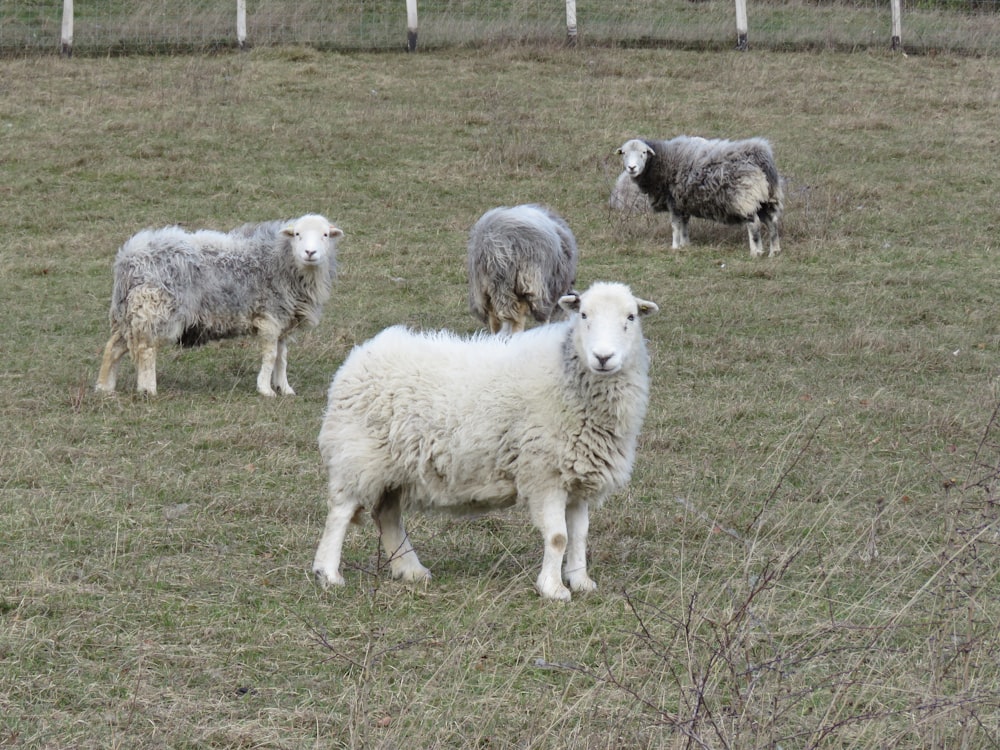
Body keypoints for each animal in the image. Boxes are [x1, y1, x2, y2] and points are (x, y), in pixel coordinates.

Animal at [95, 213, 344, 396]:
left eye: (325, 235)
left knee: (114, 347)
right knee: (146, 350)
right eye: (298, 234)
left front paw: (285, 388)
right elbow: (271, 355)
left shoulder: (283, 319)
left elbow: (282, 358)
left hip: (129, 314)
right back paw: (148, 389)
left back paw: (105, 387)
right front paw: (265, 390)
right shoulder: (269, 317)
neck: (280, 258)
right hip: (154, 309)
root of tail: (128, 258)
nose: (310, 252)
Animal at [312, 282, 656, 604]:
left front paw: (581, 580)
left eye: (631, 317)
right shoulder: (544, 473)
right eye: (583, 315)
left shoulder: (577, 476)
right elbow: (559, 537)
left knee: (387, 515)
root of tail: (359, 355)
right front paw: (553, 588)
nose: (603, 357)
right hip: (358, 456)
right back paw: (328, 573)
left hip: (394, 469)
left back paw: (410, 569)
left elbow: (580, 535)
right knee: (340, 512)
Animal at [466, 204, 580, 336]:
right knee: (516, 322)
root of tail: (495, 246)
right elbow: (545, 318)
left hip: (485, 291)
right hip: (527, 283)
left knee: (497, 321)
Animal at [612, 137, 784, 258]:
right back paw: (774, 251)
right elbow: (684, 225)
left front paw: (674, 247)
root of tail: (760, 156)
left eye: (643, 153)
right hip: (765, 198)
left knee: (754, 224)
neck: (661, 161)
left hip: (745, 198)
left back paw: (756, 252)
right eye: (624, 153)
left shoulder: (673, 202)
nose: (632, 168)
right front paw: (685, 245)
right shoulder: (683, 203)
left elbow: (675, 225)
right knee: (772, 222)